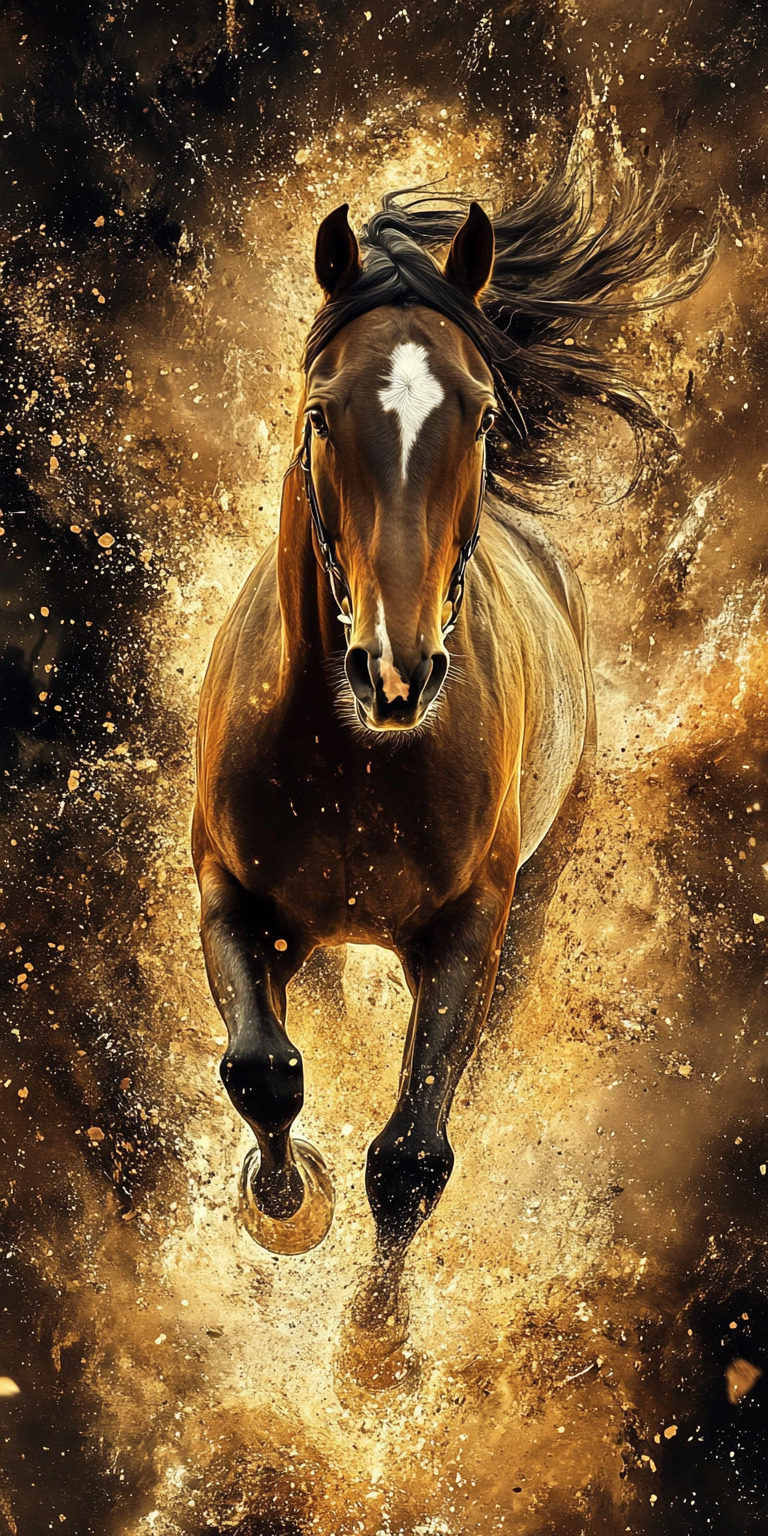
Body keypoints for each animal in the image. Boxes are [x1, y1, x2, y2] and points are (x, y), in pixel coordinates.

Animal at [192, 162, 712, 1362]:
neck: (355, 763)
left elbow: (414, 1152)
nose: (398, 670)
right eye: (323, 410)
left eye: (477, 411)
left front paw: (376, 1351)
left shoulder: (473, 928)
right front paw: (283, 1205)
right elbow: (264, 1069)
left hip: (533, 905)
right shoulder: (228, 888)